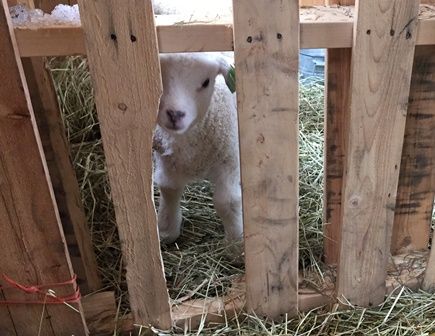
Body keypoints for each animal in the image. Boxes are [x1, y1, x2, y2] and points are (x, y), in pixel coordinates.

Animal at [152, 52, 242, 244]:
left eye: (206, 82)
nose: (175, 114)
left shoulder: (230, 159)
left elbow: (227, 202)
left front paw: (237, 242)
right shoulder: (166, 159)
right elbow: (169, 188)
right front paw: (166, 230)